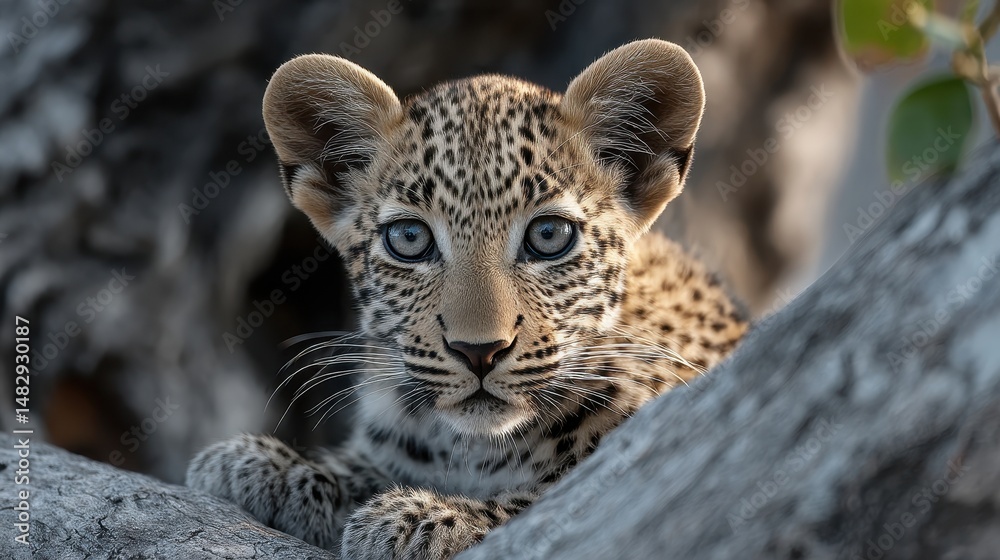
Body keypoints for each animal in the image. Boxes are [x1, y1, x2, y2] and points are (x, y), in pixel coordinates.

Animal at [186, 39, 748, 559]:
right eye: (409, 238)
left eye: (549, 234)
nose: (479, 352)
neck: (473, 449)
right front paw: (272, 467)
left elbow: (546, 500)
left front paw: (422, 520)